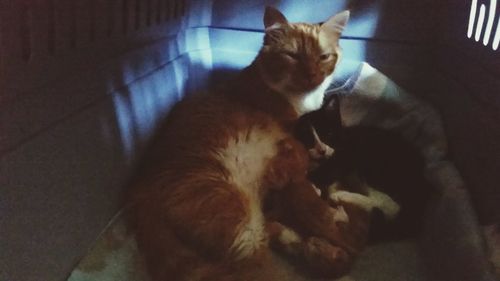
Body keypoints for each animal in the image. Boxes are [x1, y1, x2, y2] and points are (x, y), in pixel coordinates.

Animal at [127, 6, 366, 280]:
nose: (312, 76)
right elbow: (316, 207)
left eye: (324, 57)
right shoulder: (292, 156)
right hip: (239, 224)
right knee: (258, 265)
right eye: (292, 56)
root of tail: (139, 189)